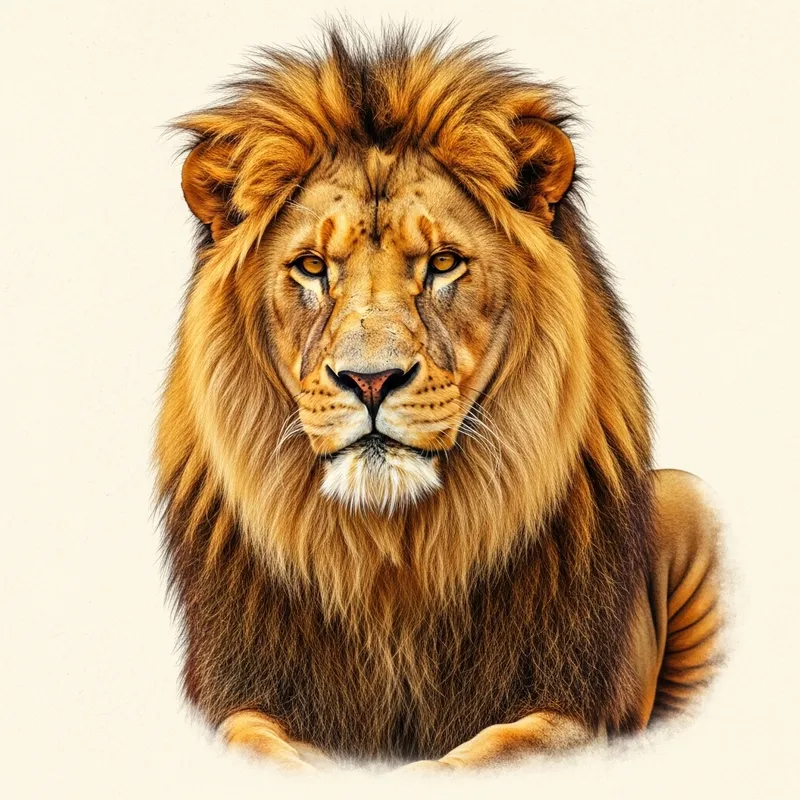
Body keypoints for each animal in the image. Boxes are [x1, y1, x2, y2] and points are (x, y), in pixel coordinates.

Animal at [155, 24, 724, 772]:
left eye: (444, 263)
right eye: (311, 267)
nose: (370, 380)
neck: (392, 555)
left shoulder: (578, 708)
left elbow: (494, 749)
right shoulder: (240, 691)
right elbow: (258, 743)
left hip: (691, 498)